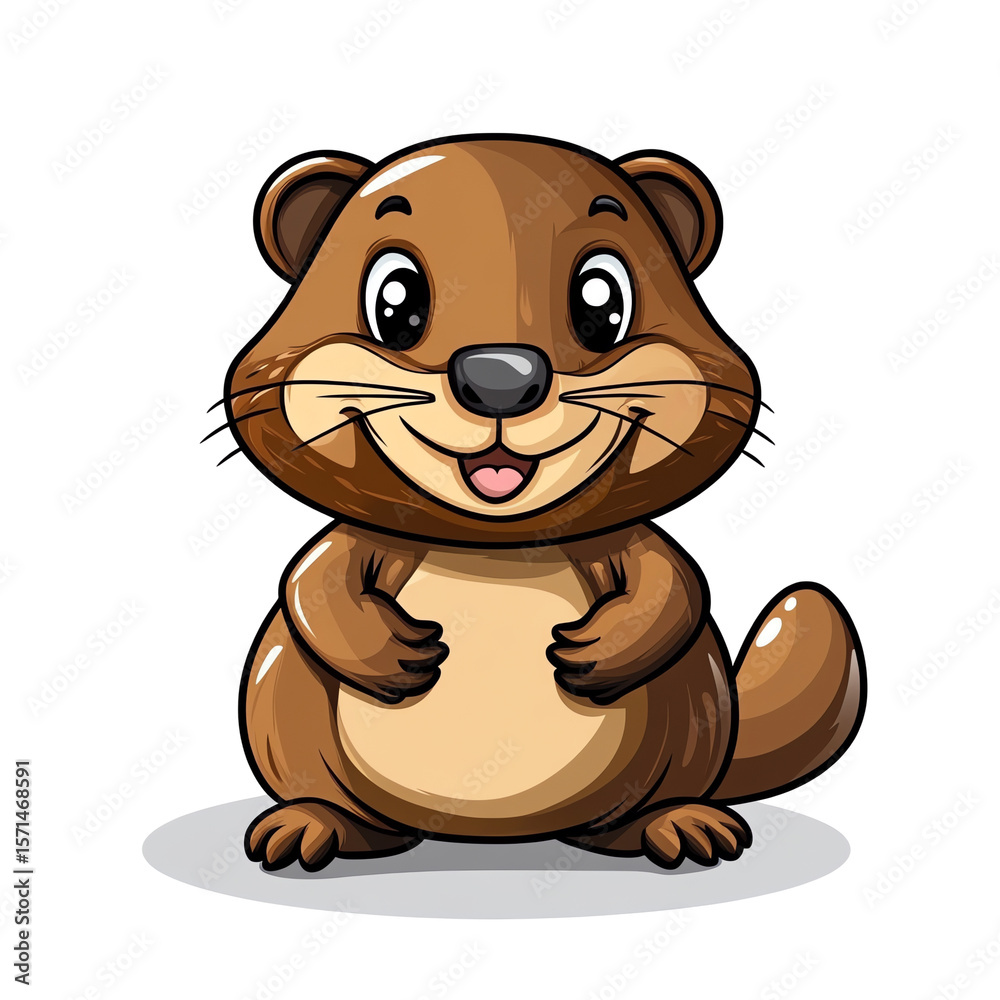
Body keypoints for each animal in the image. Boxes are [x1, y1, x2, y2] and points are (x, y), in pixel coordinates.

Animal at [216, 135, 866, 872]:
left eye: (602, 302)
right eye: (396, 302)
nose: (500, 377)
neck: (494, 543)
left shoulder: (628, 543)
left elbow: (677, 583)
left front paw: (598, 649)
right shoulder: (361, 540)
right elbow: (310, 581)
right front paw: (393, 653)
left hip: (693, 712)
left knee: (634, 813)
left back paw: (677, 823)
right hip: (281, 701)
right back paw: (312, 824)